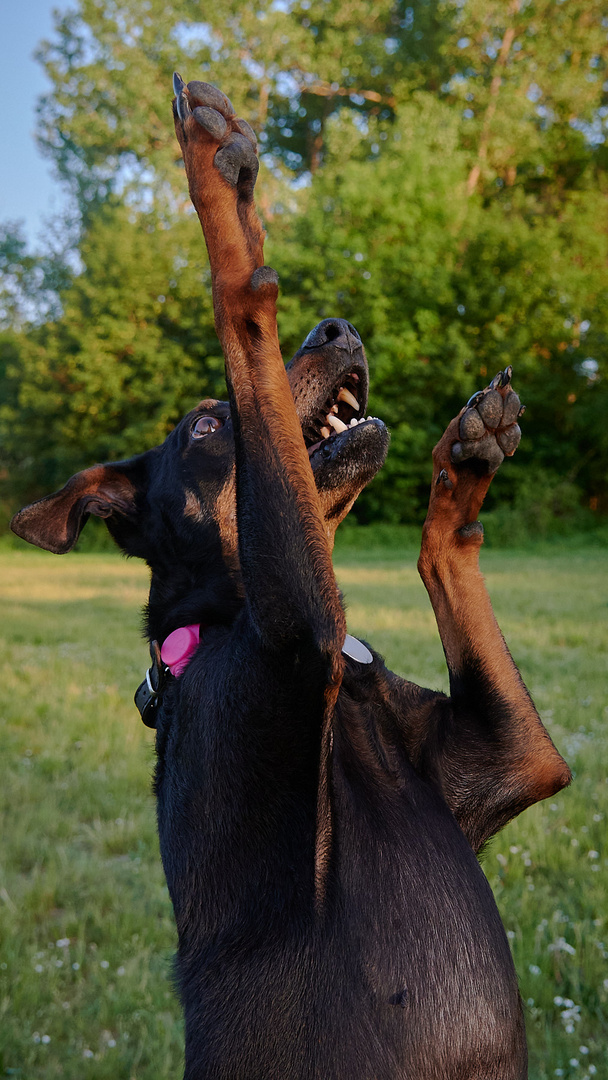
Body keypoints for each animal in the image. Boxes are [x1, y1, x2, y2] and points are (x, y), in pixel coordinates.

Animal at [10, 78, 570, 1080]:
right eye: (202, 426)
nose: (338, 328)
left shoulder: (517, 761)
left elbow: (445, 554)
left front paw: (464, 467)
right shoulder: (295, 629)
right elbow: (244, 311)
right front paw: (220, 192)